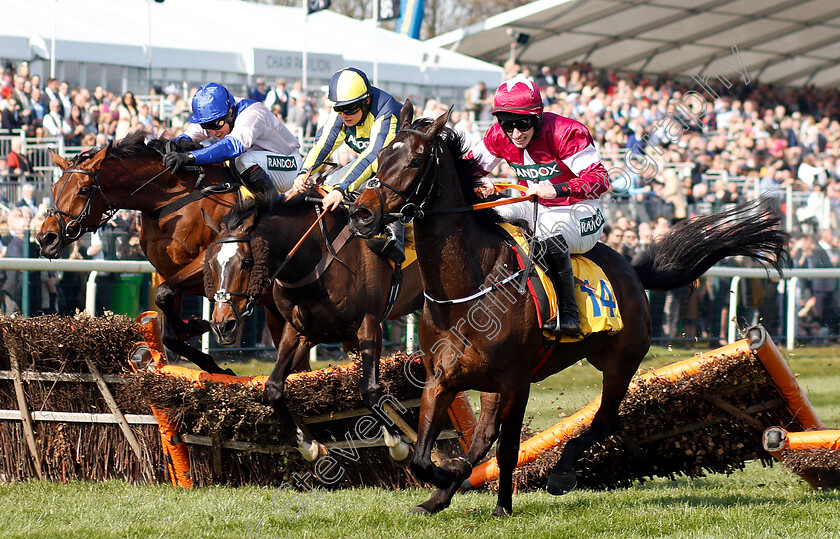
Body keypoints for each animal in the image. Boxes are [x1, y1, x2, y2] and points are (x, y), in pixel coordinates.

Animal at [36, 132, 290, 376]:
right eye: (54, 188)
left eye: (84, 190)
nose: (46, 238)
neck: (173, 201)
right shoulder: (166, 271)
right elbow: (166, 319)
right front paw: (202, 342)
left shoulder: (211, 262)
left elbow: (165, 294)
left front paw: (197, 327)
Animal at [204, 189, 426, 460]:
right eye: (210, 262)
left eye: (246, 262)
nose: (222, 325)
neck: (314, 260)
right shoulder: (299, 331)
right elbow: (273, 387)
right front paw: (307, 445)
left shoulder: (369, 322)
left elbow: (370, 389)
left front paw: (398, 444)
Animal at [346, 102, 788, 520]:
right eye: (380, 156)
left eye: (416, 160)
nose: (361, 213)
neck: (467, 288)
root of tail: (633, 269)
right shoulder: (442, 377)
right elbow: (422, 456)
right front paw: (437, 481)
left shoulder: (518, 380)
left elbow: (507, 450)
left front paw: (502, 505)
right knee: (484, 436)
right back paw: (445, 493)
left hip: (619, 362)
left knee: (604, 421)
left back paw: (560, 472)